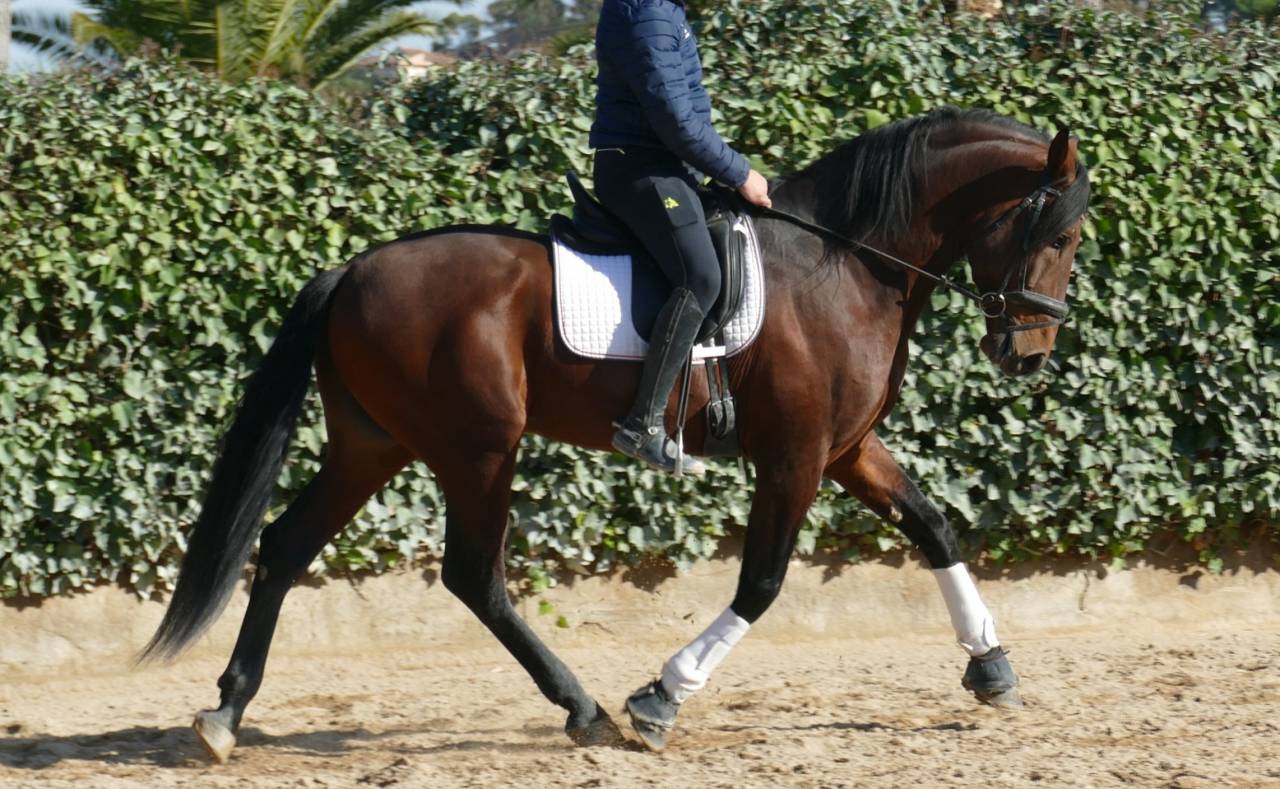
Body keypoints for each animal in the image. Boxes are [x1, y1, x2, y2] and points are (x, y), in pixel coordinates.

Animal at [141, 106, 1091, 761]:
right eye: (1063, 233)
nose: (1030, 353)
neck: (847, 262)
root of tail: (350, 270)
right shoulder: (795, 455)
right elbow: (762, 583)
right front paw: (660, 698)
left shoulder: (847, 448)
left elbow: (935, 526)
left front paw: (991, 665)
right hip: (477, 447)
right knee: (473, 574)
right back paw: (585, 708)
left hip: (373, 445)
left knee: (286, 545)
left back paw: (225, 712)